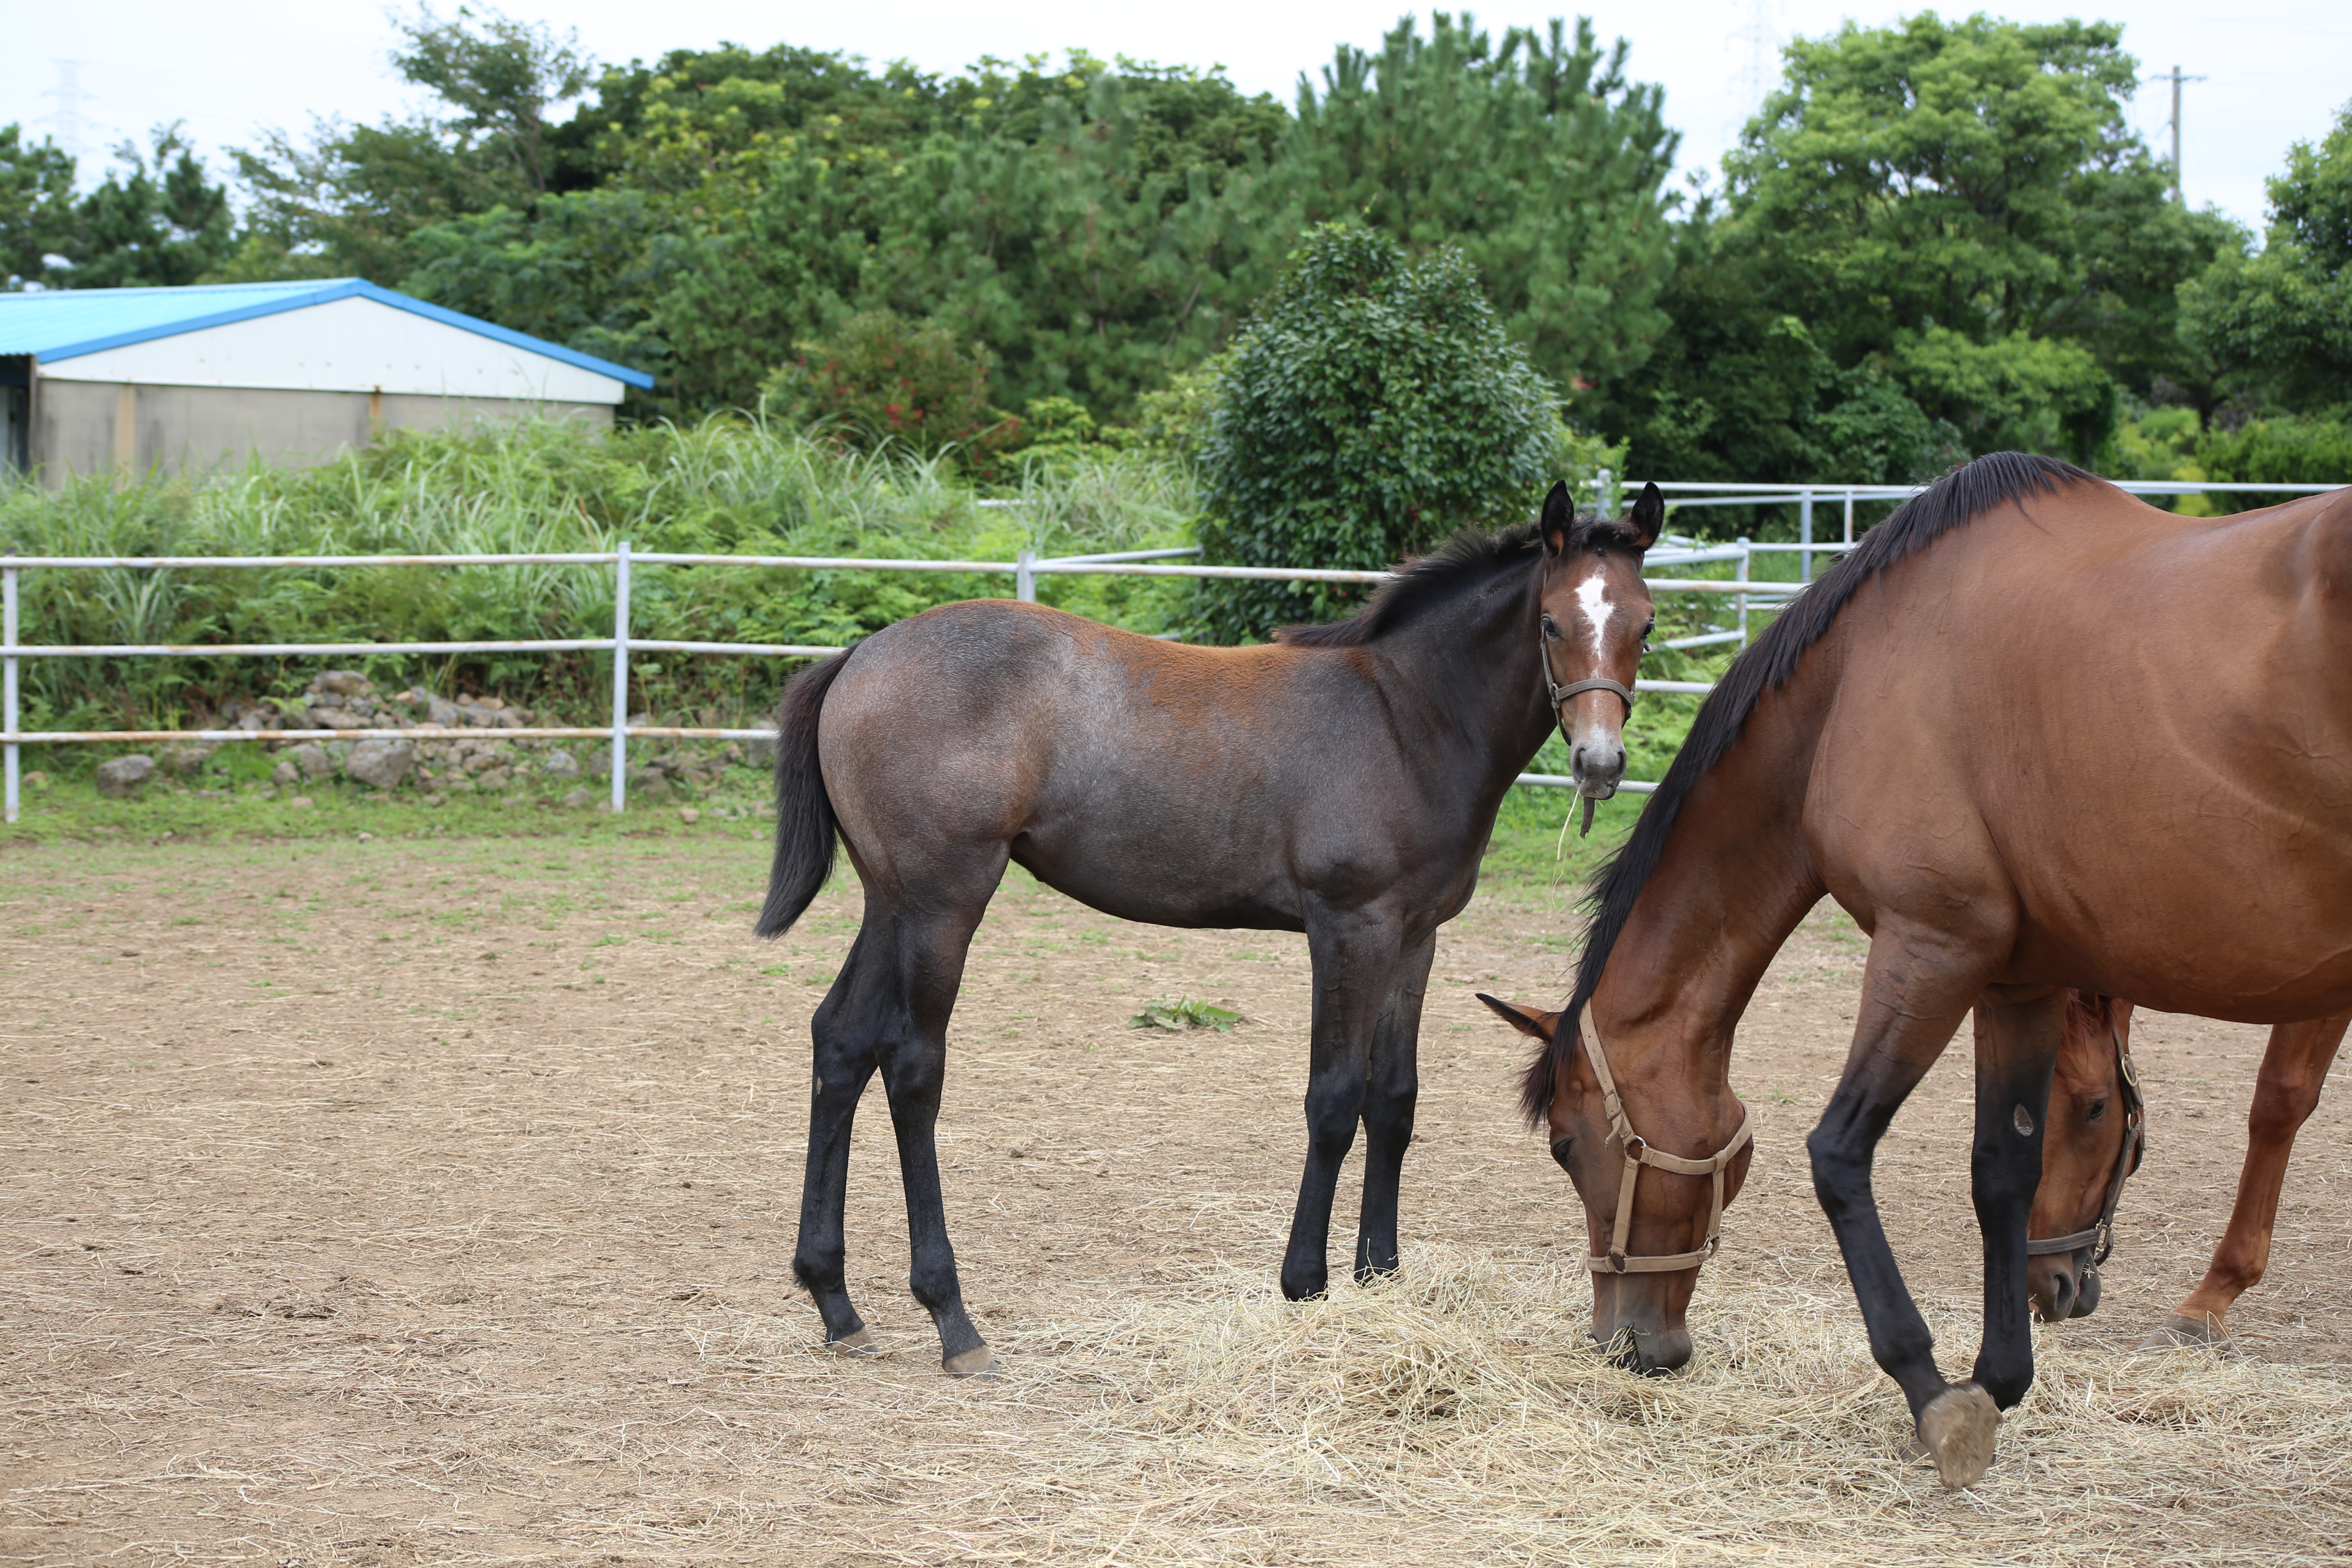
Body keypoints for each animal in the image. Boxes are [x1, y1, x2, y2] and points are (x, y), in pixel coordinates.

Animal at [762, 484, 1665, 1382]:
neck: (1405, 717)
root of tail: (858, 657)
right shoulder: (1349, 927)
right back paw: (953, 1319)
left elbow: (1395, 1101)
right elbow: (1335, 1099)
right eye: (1551, 622)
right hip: (943, 901)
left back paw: (836, 1302)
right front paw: (1305, 1284)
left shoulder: (1415, 936)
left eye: (1646, 624)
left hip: (891, 901)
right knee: (914, 1068)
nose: (1599, 763)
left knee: (842, 1041)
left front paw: (1382, 1275)